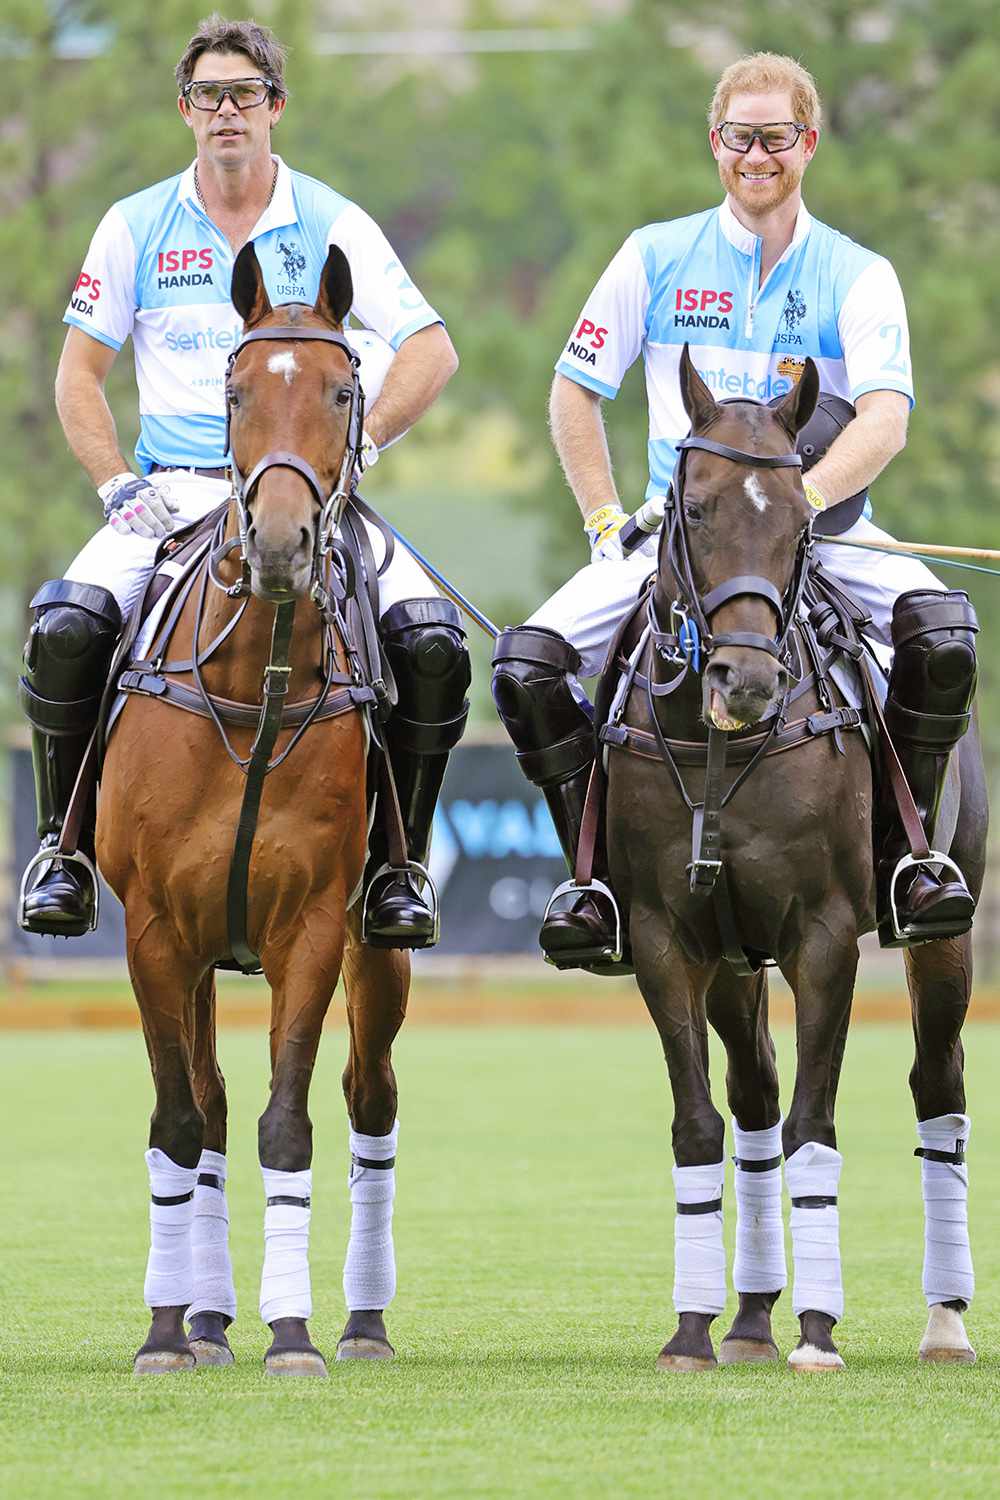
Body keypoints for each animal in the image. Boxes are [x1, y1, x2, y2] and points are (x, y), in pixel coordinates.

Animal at [99, 249, 407, 1380]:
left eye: (342, 391)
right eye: (233, 394)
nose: (279, 546)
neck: (254, 683)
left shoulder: (311, 925)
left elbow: (289, 1123)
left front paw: (294, 1333)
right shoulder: (153, 930)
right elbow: (179, 1121)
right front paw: (164, 1331)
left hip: (375, 944)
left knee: (370, 1099)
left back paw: (360, 1322)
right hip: (191, 953)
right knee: (208, 1105)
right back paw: (201, 1318)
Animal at [602, 348, 983, 1374]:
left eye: (803, 519)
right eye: (693, 509)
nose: (746, 681)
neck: (718, 746)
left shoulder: (824, 934)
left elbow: (819, 1120)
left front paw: (818, 1331)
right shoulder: (666, 936)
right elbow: (702, 1124)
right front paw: (693, 1332)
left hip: (946, 926)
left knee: (938, 1087)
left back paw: (945, 1323)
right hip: (735, 959)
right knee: (755, 1096)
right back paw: (748, 1318)